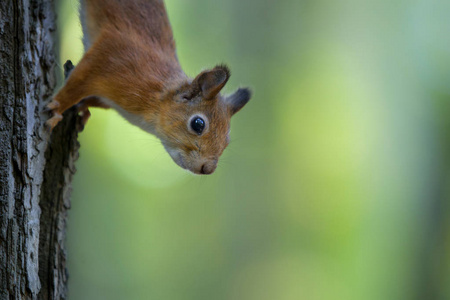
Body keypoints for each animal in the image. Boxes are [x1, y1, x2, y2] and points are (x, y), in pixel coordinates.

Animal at [47, 0, 251, 175]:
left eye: (227, 140)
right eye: (198, 124)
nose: (207, 169)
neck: (155, 101)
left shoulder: (109, 98)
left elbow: (93, 99)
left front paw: (83, 107)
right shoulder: (108, 59)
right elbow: (75, 85)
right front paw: (56, 108)